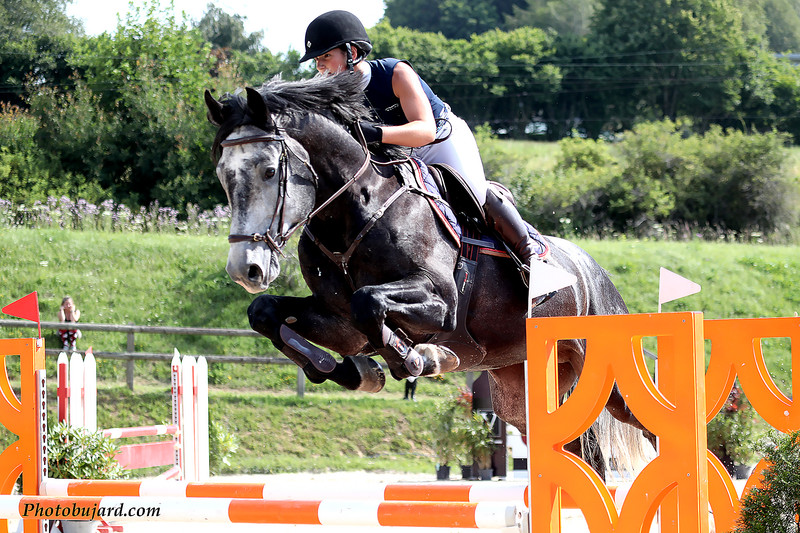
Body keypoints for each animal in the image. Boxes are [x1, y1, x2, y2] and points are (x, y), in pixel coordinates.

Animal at [204, 74, 653, 476]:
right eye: (222, 174)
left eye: (268, 171)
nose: (246, 269)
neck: (357, 212)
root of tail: (594, 273)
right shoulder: (342, 324)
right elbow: (267, 312)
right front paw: (352, 372)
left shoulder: (441, 304)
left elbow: (369, 301)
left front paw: (424, 358)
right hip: (523, 391)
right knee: (582, 452)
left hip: (614, 384)